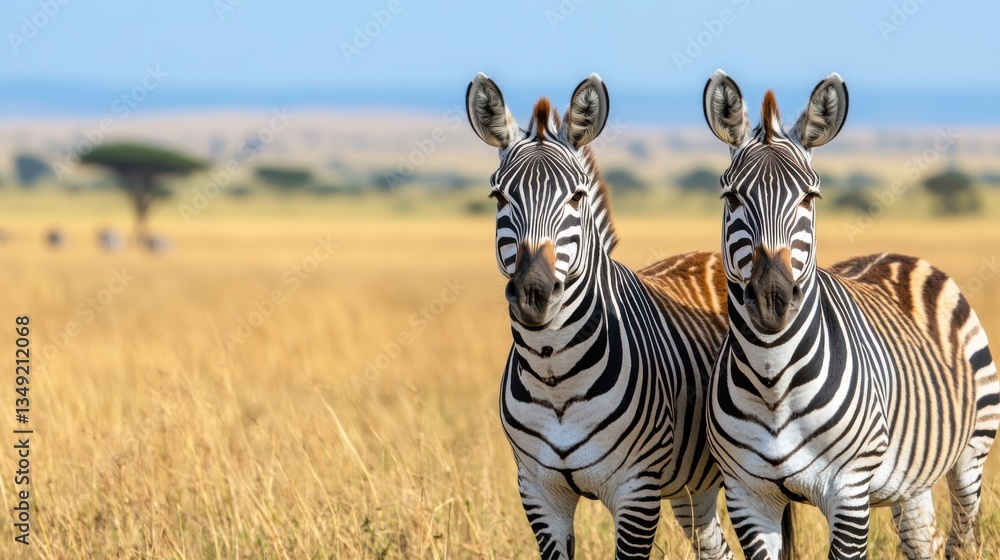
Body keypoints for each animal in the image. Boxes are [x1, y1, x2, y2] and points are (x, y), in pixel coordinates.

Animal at [467, 73, 743, 559]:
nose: (533, 294)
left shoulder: (637, 490)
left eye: (576, 197)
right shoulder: (538, 491)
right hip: (694, 488)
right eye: (499, 197)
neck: (554, 374)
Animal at [701, 69, 1000, 559]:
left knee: (962, 538)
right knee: (924, 539)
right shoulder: (746, 494)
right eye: (732, 197)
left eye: (809, 197)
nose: (771, 298)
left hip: (971, 454)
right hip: (909, 478)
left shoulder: (849, 490)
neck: (772, 380)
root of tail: (897, 255)